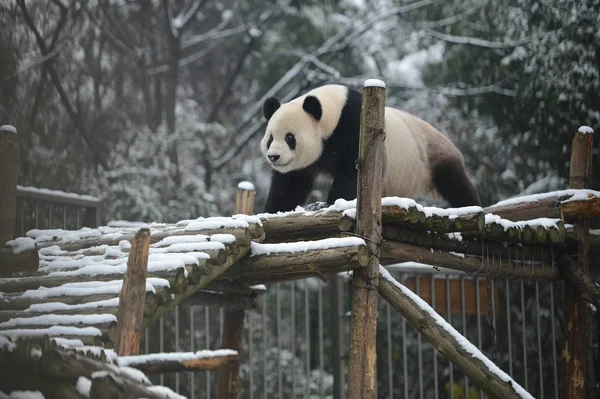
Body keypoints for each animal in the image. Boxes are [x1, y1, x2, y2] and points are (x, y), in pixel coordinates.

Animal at [260, 83, 480, 216]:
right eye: (270, 138)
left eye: (290, 138)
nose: (274, 156)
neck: (331, 114)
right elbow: (290, 185)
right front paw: (272, 211)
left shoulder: (354, 127)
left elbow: (354, 172)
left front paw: (325, 204)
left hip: (433, 156)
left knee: (455, 184)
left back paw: (472, 206)